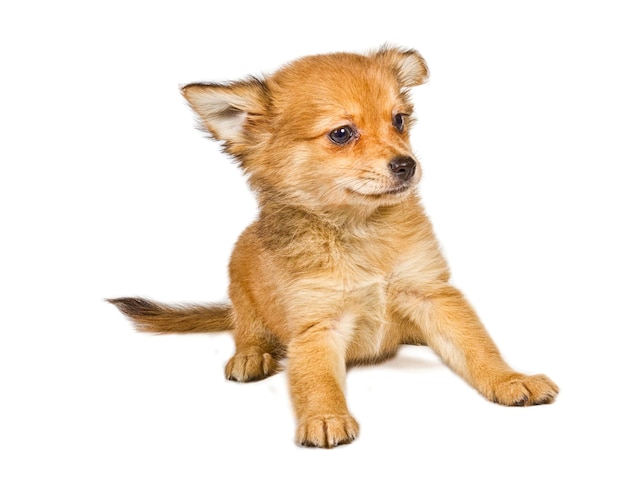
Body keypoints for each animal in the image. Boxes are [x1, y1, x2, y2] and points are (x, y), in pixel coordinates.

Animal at [107, 46, 556, 448]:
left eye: (399, 121)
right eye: (342, 134)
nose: (407, 164)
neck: (359, 231)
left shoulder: (431, 293)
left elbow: (475, 345)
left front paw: (510, 379)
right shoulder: (318, 322)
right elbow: (315, 377)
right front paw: (324, 416)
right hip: (242, 290)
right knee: (246, 329)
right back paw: (251, 356)